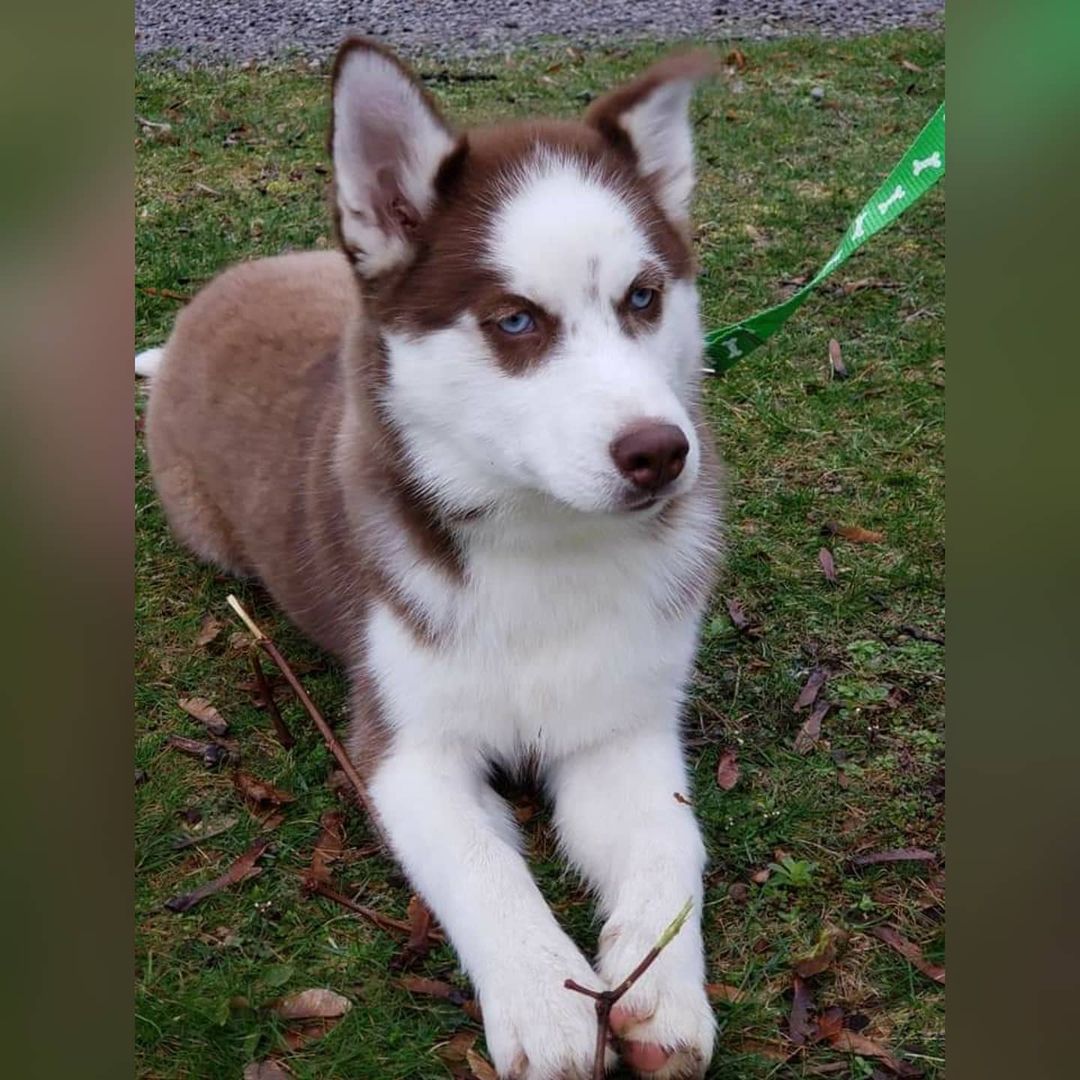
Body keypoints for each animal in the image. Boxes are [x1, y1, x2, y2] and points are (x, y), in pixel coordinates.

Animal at [139, 39, 721, 1080]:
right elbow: (485, 869)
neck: (544, 544)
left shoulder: (622, 725)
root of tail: (209, 299)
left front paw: (662, 992)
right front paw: (546, 1003)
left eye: (644, 297)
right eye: (516, 320)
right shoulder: (406, 748)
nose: (661, 452)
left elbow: (673, 840)